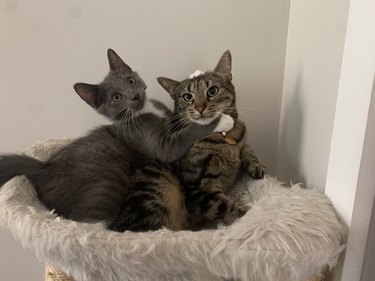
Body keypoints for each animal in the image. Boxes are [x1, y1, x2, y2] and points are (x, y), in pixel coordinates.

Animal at [0, 48, 235, 229]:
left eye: (130, 81)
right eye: (116, 97)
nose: (134, 96)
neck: (144, 111)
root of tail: (43, 168)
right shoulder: (160, 146)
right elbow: (188, 133)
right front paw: (222, 120)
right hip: (106, 185)